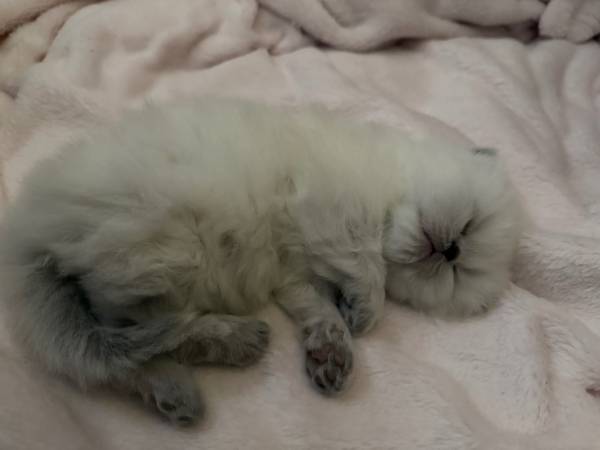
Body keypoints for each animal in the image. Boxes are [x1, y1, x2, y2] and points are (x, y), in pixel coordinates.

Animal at [0, 99, 523, 426]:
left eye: (458, 271)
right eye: (470, 226)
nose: (450, 249)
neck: (388, 193)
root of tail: (28, 232)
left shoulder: (295, 275)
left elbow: (320, 309)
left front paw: (332, 351)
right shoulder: (331, 209)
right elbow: (366, 266)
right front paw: (366, 313)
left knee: (119, 349)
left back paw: (180, 389)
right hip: (165, 252)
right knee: (136, 335)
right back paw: (234, 341)